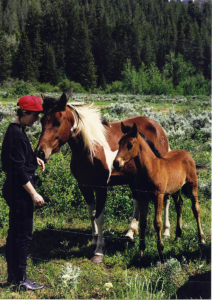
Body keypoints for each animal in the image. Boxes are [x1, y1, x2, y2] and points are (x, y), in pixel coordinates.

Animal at [36, 91, 171, 262]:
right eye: (42, 121)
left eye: (58, 122)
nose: (40, 152)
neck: (90, 149)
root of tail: (157, 126)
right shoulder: (84, 186)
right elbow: (92, 214)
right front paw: (94, 240)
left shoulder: (101, 187)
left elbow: (100, 216)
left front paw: (99, 251)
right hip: (134, 180)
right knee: (137, 201)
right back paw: (130, 233)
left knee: (166, 200)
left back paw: (166, 232)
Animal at [114, 123, 205, 262]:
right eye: (119, 143)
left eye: (130, 145)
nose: (116, 163)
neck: (151, 168)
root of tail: (186, 153)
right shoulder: (143, 197)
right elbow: (143, 222)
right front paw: (141, 251)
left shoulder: (158, 196)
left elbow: (157, 223)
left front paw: (161, 252)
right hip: (175, 189)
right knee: (179, 204)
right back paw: (177, 236)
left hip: (192, 186)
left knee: (196, 210)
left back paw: (201, 241)